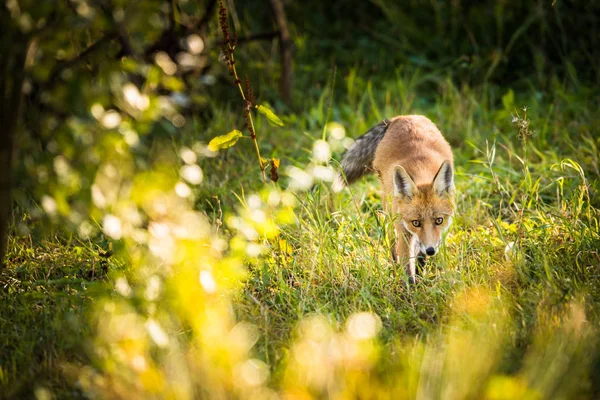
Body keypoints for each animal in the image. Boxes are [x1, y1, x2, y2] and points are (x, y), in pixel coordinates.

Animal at [332, 115, 454, 284]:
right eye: (416, 222)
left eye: (439, 220)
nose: (430, 250)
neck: (422, 168)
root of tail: (401, 117)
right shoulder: (404, 229)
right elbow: (407, 263)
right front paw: (410, 287)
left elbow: (419, 255)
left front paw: (420, 273)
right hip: (388, 211)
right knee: (391, 240)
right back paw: (395, 264)